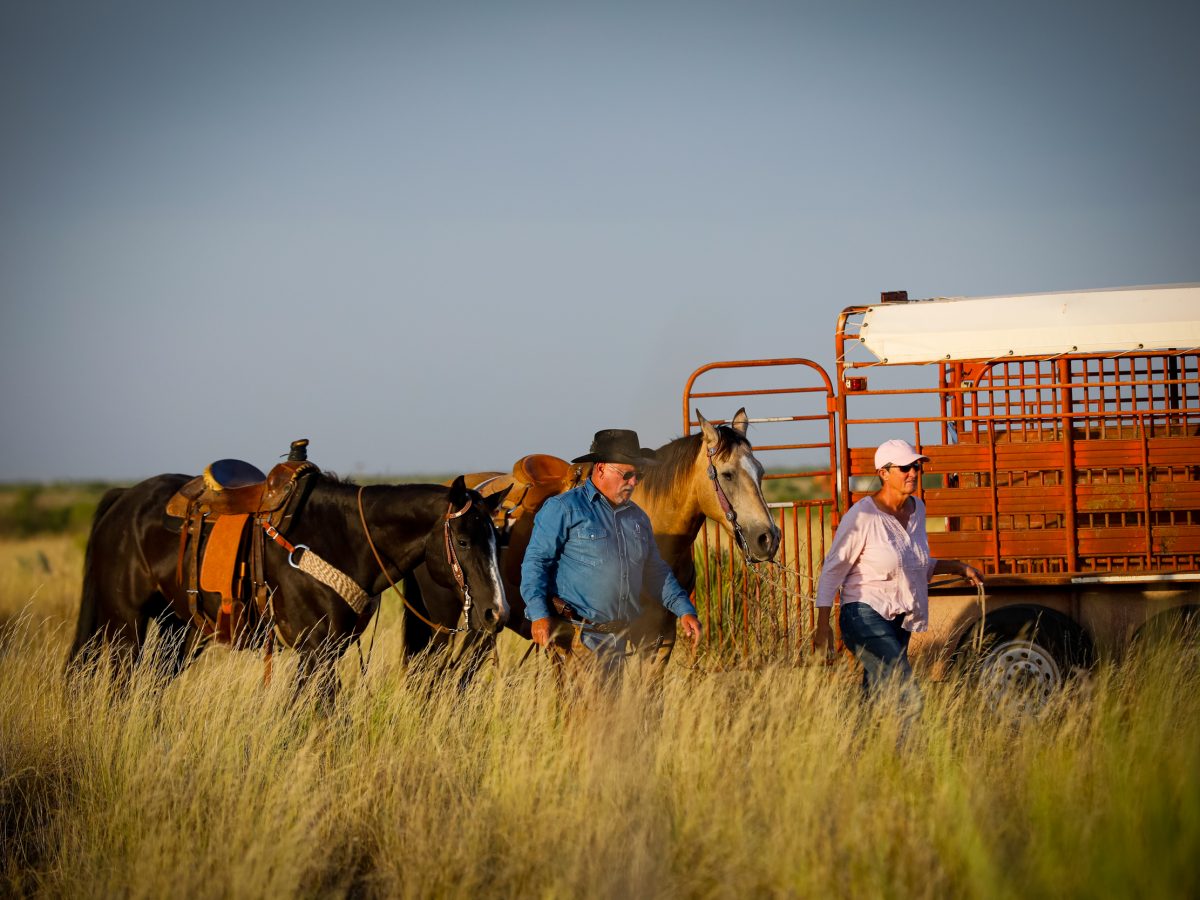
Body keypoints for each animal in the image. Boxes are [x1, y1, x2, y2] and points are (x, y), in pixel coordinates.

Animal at [69, 458, 511, 705]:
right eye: (464, 540)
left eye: (498, 537)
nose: (497, 612)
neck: (342, 539)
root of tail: (123, 499)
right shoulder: (316, 649)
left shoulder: (327, 651)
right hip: (125, 627)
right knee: (122, 689)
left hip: (180, 631)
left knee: (152, 688)